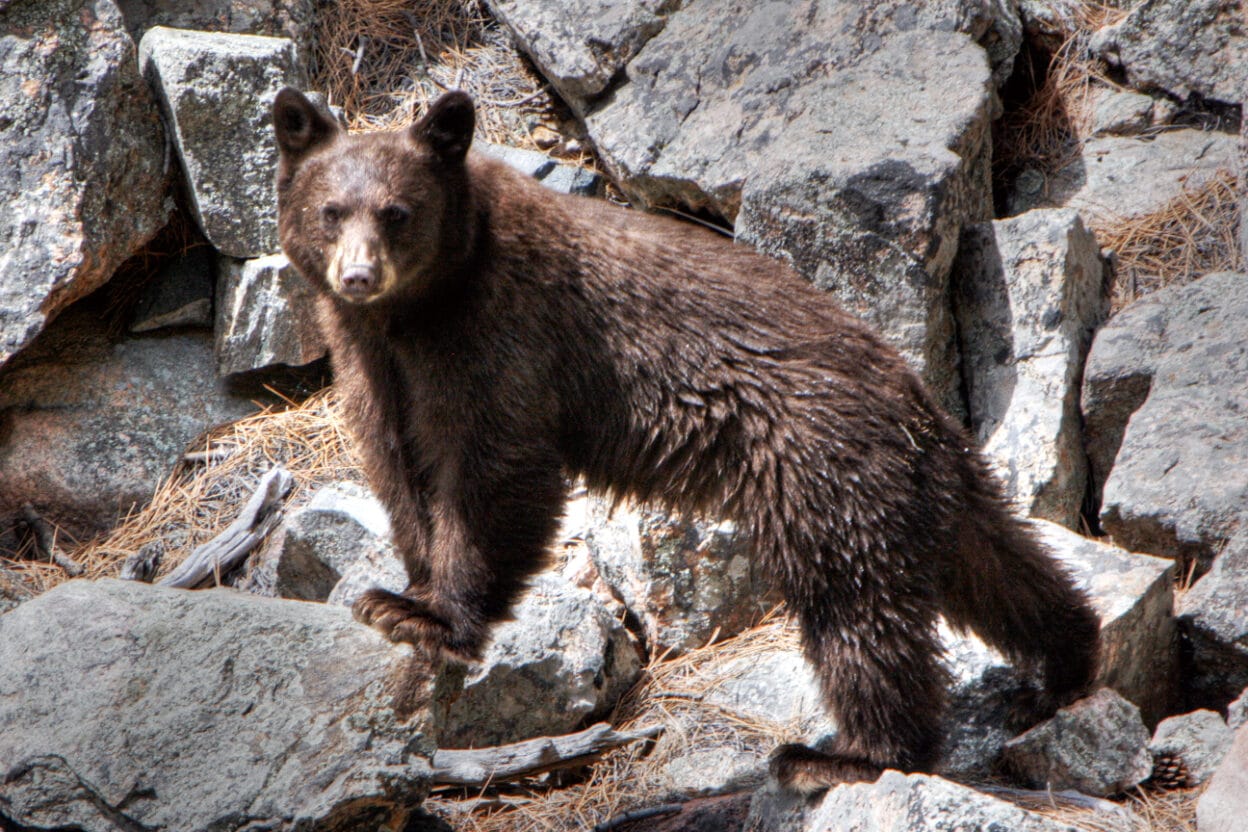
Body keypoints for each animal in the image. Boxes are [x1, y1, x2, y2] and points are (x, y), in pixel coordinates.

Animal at [272, 87, 1101, 792]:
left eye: (398, 211)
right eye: (330, 209)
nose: (358, 275)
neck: (417, 310)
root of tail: (916, 399)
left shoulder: (500, 336)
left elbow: (492, 472)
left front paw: (432, 614)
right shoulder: (374, 364)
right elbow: (397, 465)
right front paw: (402, 589)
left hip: (820, 465)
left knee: (856, 604)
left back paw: (846, 754)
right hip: (929, 482)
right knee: (997, 562)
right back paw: (1065, 659)